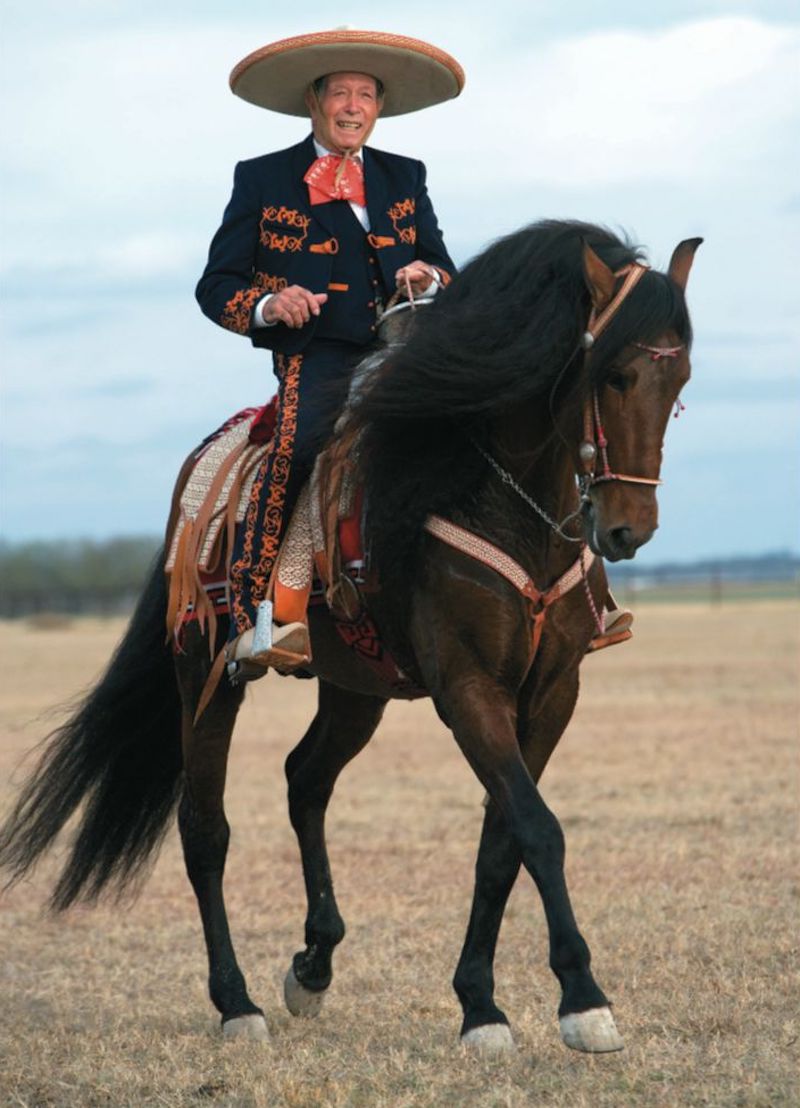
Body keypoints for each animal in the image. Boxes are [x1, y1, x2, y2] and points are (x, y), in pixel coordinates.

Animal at [0, 219, 700, 1055]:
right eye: (617, 375)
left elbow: (501, 841)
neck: (498, 498)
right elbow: (538, 827)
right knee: (205, 830)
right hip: (205, 674)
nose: (630, 529)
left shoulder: (552, 692)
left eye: (680, 380)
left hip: (356, 688)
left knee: (305, 778)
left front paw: (479, 1001)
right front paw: (580, 999)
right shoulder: (467, 687)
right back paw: (237, 1003)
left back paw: (313, 964)